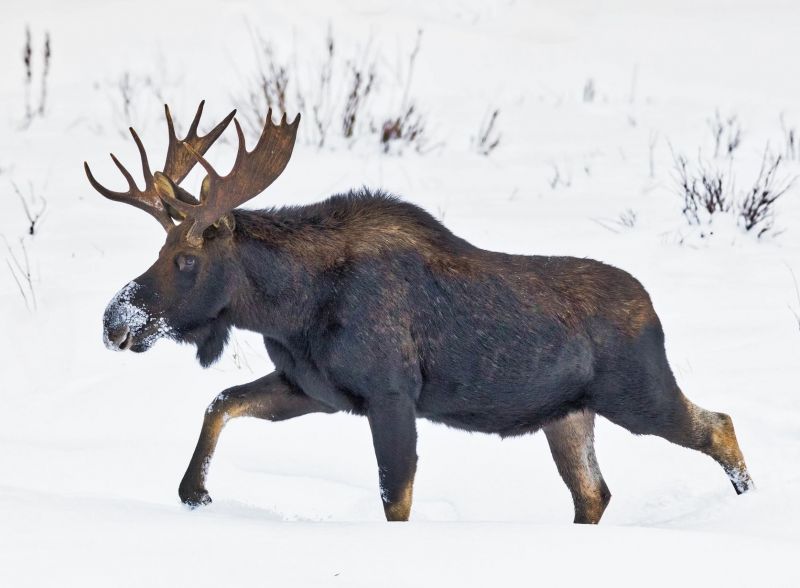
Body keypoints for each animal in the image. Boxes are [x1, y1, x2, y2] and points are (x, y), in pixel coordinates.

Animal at [87, 101, 756, 524]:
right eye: (159, 250)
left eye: (186, 258)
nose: (115, 321)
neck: (291, 309)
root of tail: (653, 309)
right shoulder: (315, 389)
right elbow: (220, 402)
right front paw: (194, 493)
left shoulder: (391, 394)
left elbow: (396, 498)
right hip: (569, 415)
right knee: (593, 494)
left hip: (638, 395)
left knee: (718, 423)